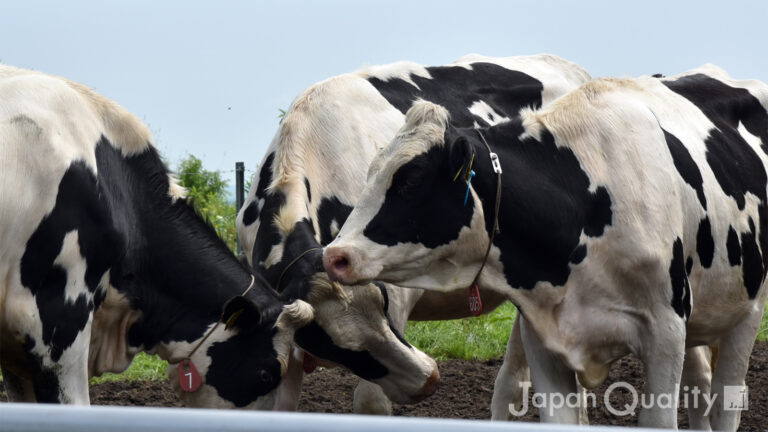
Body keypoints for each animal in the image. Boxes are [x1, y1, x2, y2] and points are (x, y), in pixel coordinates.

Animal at [324, 64, 768, 428]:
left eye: (411, 180)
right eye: (370, 174)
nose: (335, 256)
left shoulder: (666, 331)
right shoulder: (544, 338)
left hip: (747, 311)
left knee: (725, 401)